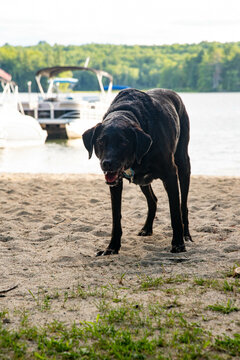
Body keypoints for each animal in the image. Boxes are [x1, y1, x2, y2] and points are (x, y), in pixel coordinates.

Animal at [83, 87, 192, 256]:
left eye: (123, 142)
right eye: (101, 141)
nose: (107, 163)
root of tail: (171, 92)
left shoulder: (170, 175)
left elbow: (175, 213)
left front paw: (178, 244)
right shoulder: (116, 183)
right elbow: (116, 216)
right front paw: (112, 247)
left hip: (183, 164)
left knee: (183, 205)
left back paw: (186, 234)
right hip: (142, 180)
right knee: (153, 200)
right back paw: (147, 228)